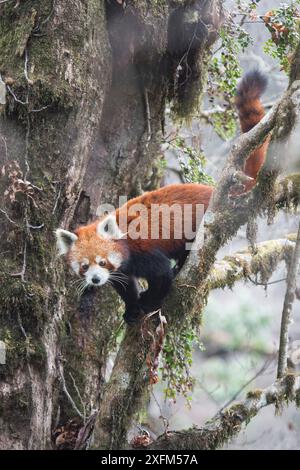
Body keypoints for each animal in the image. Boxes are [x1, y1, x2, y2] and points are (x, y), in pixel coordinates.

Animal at [55, 70, 270, 324]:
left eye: (102, 261)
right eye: (84, 266)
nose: (95, 280)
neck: (125, 243)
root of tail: (213, 191)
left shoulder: (144, 251)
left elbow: (161, 276)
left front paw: (150, 301)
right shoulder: (123, 268)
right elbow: (125, 285)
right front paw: (132, 308)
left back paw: (181, 268)